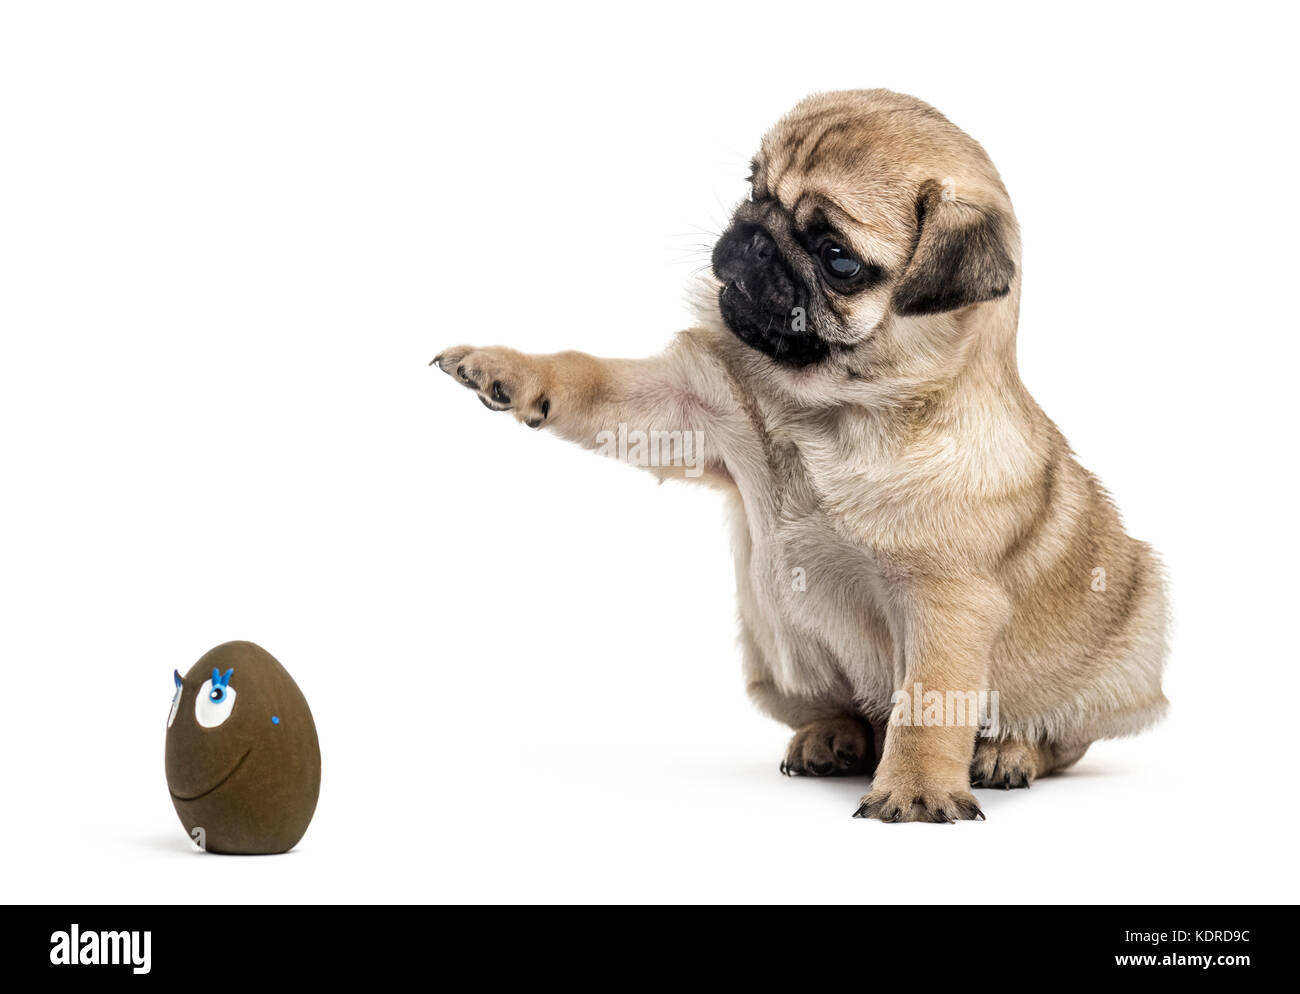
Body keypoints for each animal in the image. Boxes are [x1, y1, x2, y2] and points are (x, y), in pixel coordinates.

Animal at [434, 89, 1170, 821]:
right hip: (771, 657)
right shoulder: (681, 409)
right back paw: (833, 737)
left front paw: (919, 789)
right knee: (856, 716)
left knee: (1058, 738)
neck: (827, 413)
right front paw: (505, 368)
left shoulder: (947, 603)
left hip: (1126, 648)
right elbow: (586, 376)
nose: (754, 235)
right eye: (753, 187)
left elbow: (929, 704)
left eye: (837, 257)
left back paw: (1005, 752)